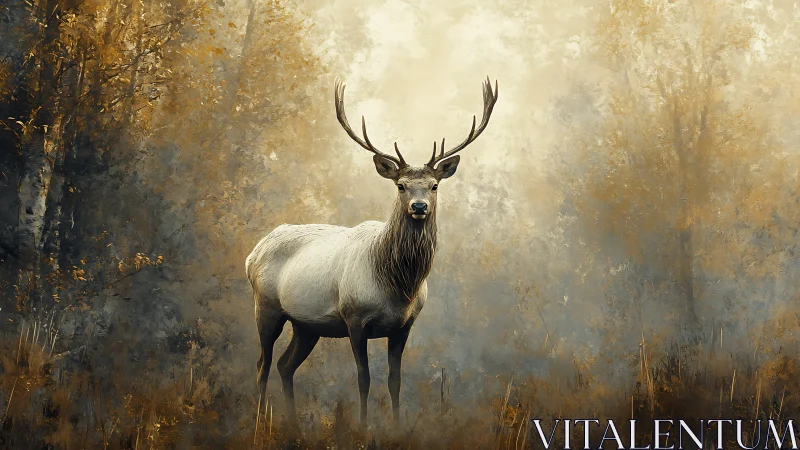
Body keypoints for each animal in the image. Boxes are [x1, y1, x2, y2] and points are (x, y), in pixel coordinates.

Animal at [245, 77, 498, 425]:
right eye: (400, 185)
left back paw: (293, 423)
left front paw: (396, 425)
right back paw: (261, 421)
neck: (398, 286)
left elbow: (395, 380)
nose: (419, 207)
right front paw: (363, 426)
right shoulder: (354, 318)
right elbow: (363, 379)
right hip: (266, 306)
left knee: (285, 366)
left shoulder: (404, 326)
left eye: (434, 185)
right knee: (262, 364)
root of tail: (252, 254)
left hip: (306, 325)